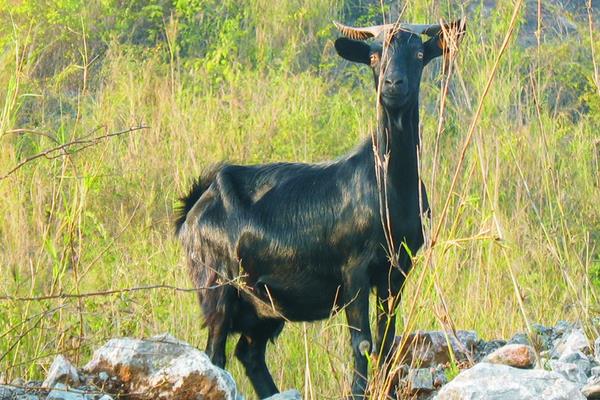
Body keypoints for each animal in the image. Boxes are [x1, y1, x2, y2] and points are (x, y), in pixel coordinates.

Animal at [176, 19, 466, 400]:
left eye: (419, 54)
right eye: (374, 57)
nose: (393, 85)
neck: (386, 184)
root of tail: (194, 207)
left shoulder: (398, 268)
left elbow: (387, 340)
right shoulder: (354, 268)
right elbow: (363, 342)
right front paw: (358, 392)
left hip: (263, 304)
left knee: (249, 352)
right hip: (217, 284)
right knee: (215, 352)